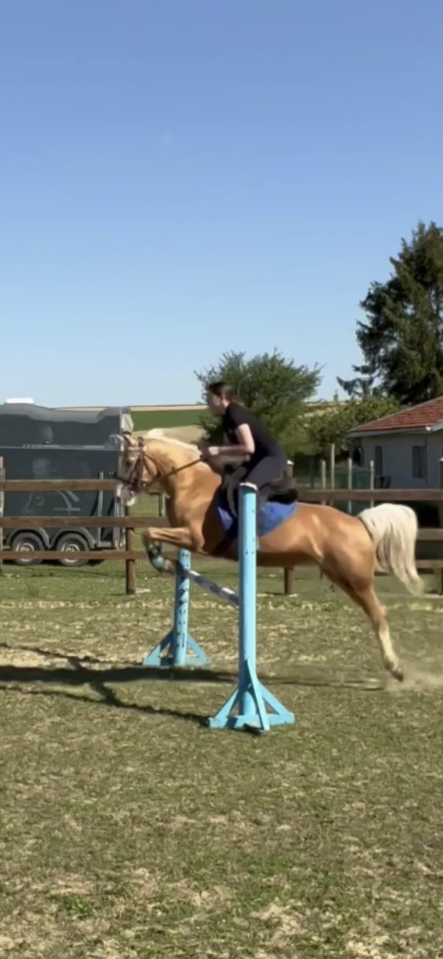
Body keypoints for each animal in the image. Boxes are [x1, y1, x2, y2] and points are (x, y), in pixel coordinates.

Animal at [116, 430, 423, 683]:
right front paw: (164, 561)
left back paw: (396, 668)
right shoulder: (185, 537)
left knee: (378, 615)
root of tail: (359, 522)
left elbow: (149, 533)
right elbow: (151, 535)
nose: (120, 495)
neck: (191, 485)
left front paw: (160, 560)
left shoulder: (194, 539)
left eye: (129, 461)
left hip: (356, 579)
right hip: (341, 576)